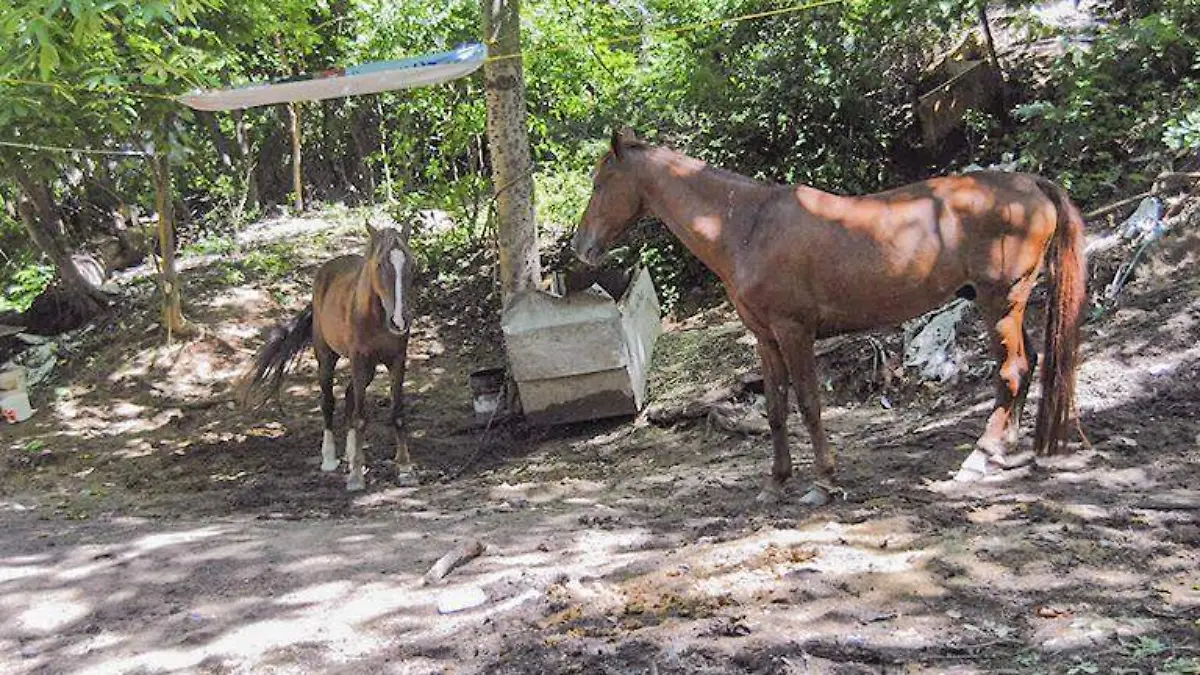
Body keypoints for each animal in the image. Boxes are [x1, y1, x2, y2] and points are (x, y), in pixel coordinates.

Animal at [238, 220, 417, 487]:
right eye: (379, 264)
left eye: (410, 263)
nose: (400, 321)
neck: (376, 316)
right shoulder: (358, 360)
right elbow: (360, 416)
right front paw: (356, 475)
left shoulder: (396, 360)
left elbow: (397, 414)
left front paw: (404, 468)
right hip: (327, 358)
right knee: (329, 402)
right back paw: (330, 458)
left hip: (369, 369)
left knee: (350, 397)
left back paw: (351, 454)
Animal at [571, 127, 1089, 504]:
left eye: (600, 184)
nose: (580, 247)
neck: (746, 226)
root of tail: (1032, 184)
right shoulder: (765, 338)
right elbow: (775, 409)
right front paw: (776, 482)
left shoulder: (794, 331)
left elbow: (808, 403)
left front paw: (823, 482)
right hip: (1006, 305)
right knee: (1029, 364)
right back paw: (1005, 450)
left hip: (999, 302)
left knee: (1012, 371)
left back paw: (980, 458)